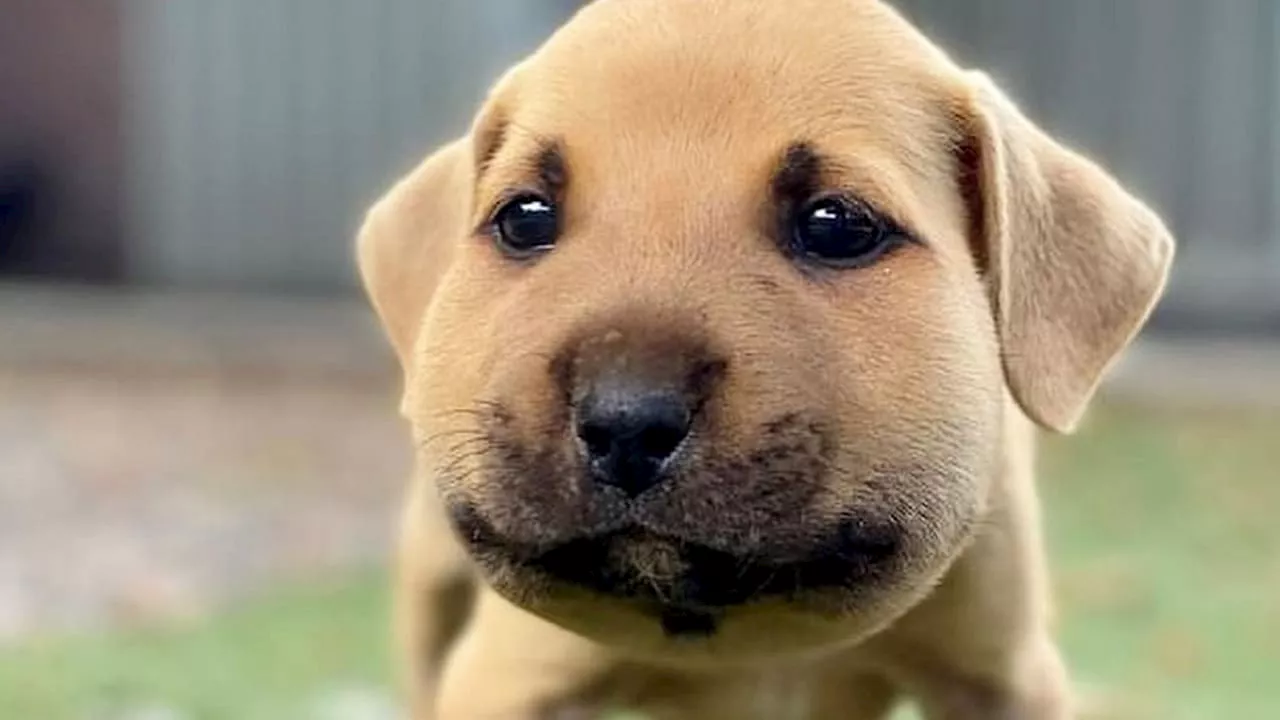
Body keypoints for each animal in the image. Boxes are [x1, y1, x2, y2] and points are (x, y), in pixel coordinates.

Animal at [355, 2, 1172, 712]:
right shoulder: (508, 676)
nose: (625, 422)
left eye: (836, 224)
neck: (753, 633)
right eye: (524, 218)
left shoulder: (1001, 677)